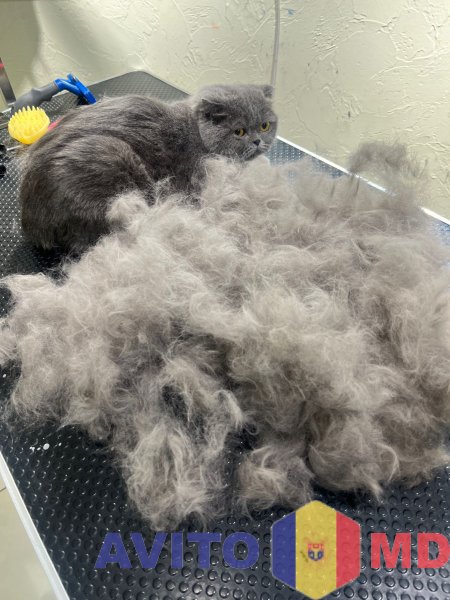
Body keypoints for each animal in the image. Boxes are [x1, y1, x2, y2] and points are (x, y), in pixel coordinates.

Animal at [19, 84, 277, 253]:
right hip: (110, 157)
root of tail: (31, 221)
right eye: (239, 131)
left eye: (265, 126)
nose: (258, 141)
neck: (197, 134)